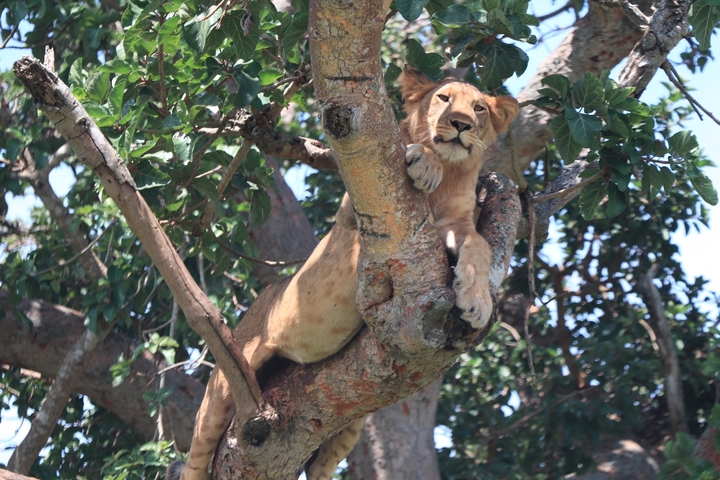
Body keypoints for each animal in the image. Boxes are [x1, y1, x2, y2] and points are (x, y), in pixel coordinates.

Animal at [170, 66, 518, 480]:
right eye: (443, 98)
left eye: (479, 108)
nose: (462, 124)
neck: (452, 174)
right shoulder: (355, 208)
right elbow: (420, 157)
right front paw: (425, 160)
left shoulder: (458, 225)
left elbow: (481, 247)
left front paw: (476, 302)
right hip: (223, 384)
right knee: (195, 457)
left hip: (351, 424)